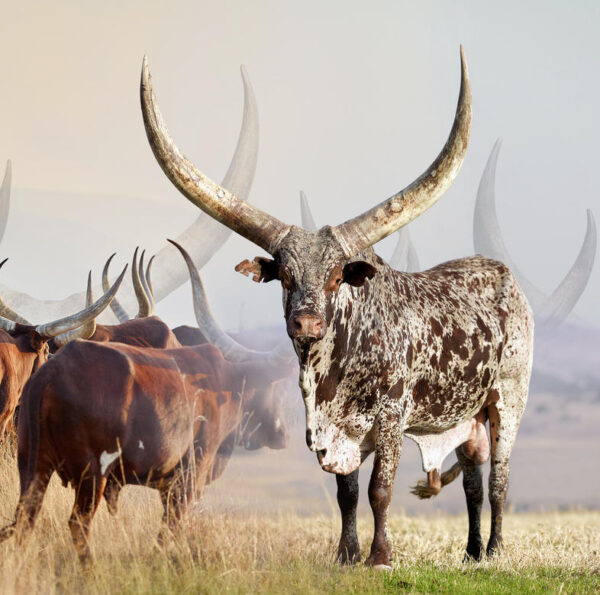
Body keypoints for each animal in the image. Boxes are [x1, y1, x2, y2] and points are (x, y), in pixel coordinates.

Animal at [141, 46, 536, 568]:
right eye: (286, 276)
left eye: (335, 277)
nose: (306, 321)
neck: (334, 371)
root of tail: (504, 275)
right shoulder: (335, 432)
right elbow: (346, 495)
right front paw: (346, 555)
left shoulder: (390, 418)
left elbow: (379, 491)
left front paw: (380, 556)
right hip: (465, 417)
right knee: (472, 477)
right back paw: (471, 553)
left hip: (508, 398)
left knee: (498, 480)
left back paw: (493, 551)